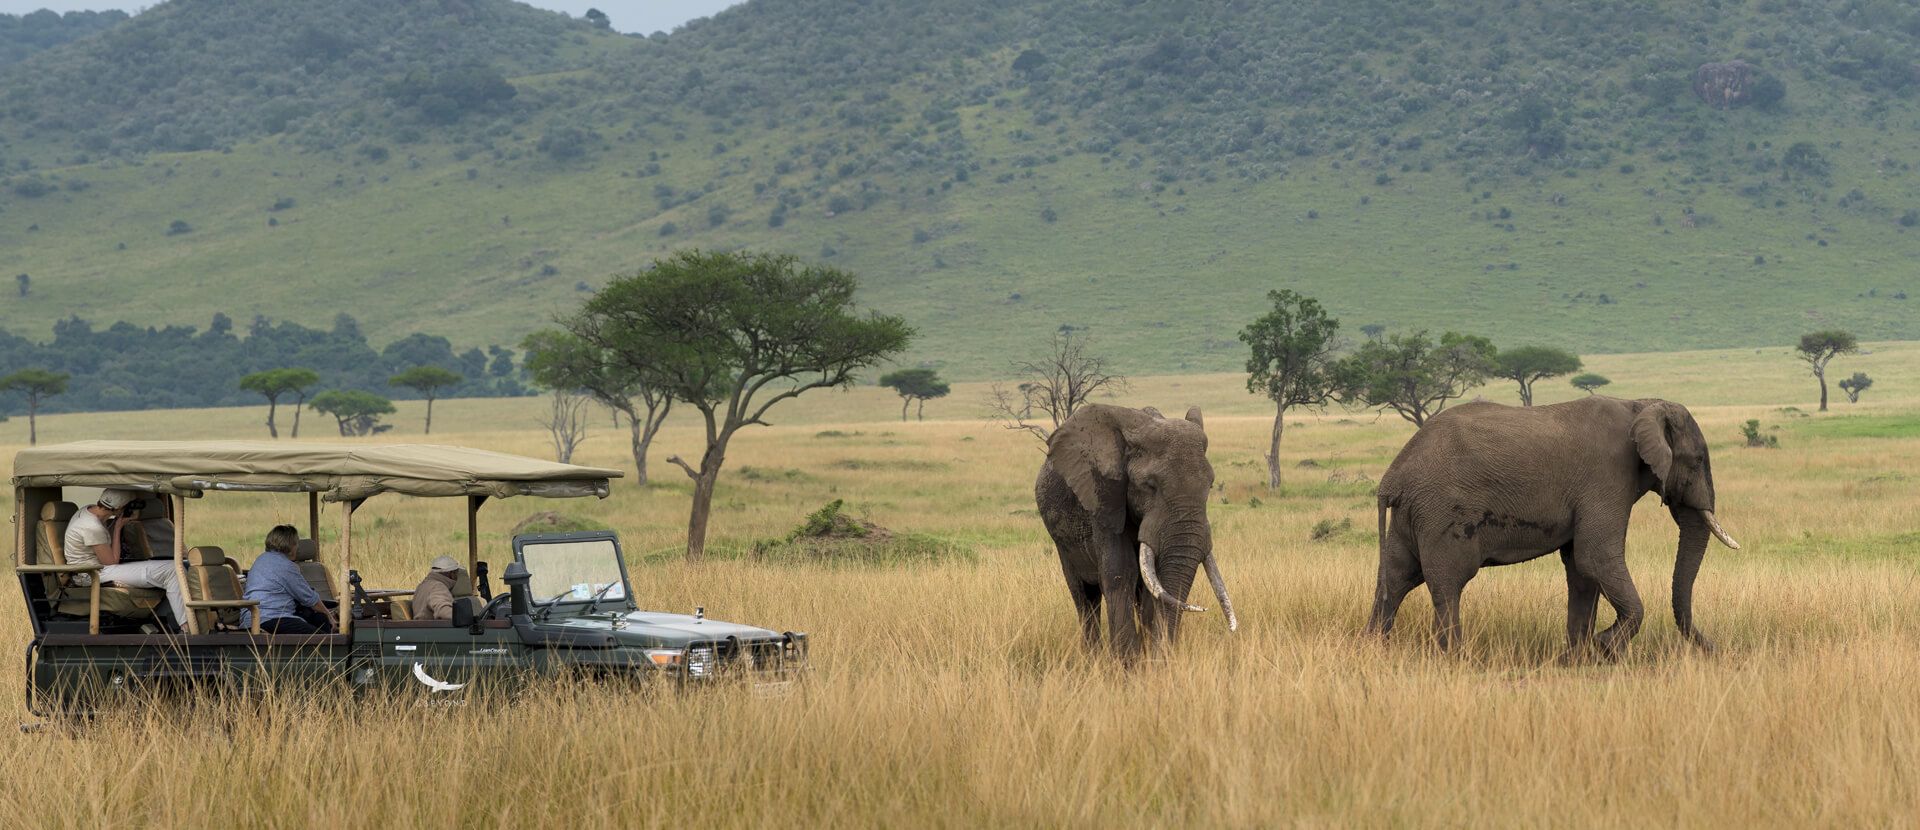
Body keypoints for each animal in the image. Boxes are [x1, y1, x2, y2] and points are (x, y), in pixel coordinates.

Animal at [1036, 401, 1244, 653]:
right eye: (1149, 485)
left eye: (1210, 485)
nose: (1201, 608)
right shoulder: (1104, 498)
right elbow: (1120, 572)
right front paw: (1127, 661)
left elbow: (1153, 584)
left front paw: (1148, 657)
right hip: (1062, 541)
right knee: (1084, 596)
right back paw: (1091, 656)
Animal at [1367, 395, 1743, 660]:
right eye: (1697, 461)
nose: (1717, 651)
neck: (1641, 404)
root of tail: (1392, 477)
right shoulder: (1607, 476)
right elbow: (1595, 558)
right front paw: (1606, 648)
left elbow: (1581, 569)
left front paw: (1577, 659)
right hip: (1441, 513)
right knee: (1446, 585)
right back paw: (1453, 659)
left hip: (1410, 517)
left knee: (1396, 579)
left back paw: (1374, 649)